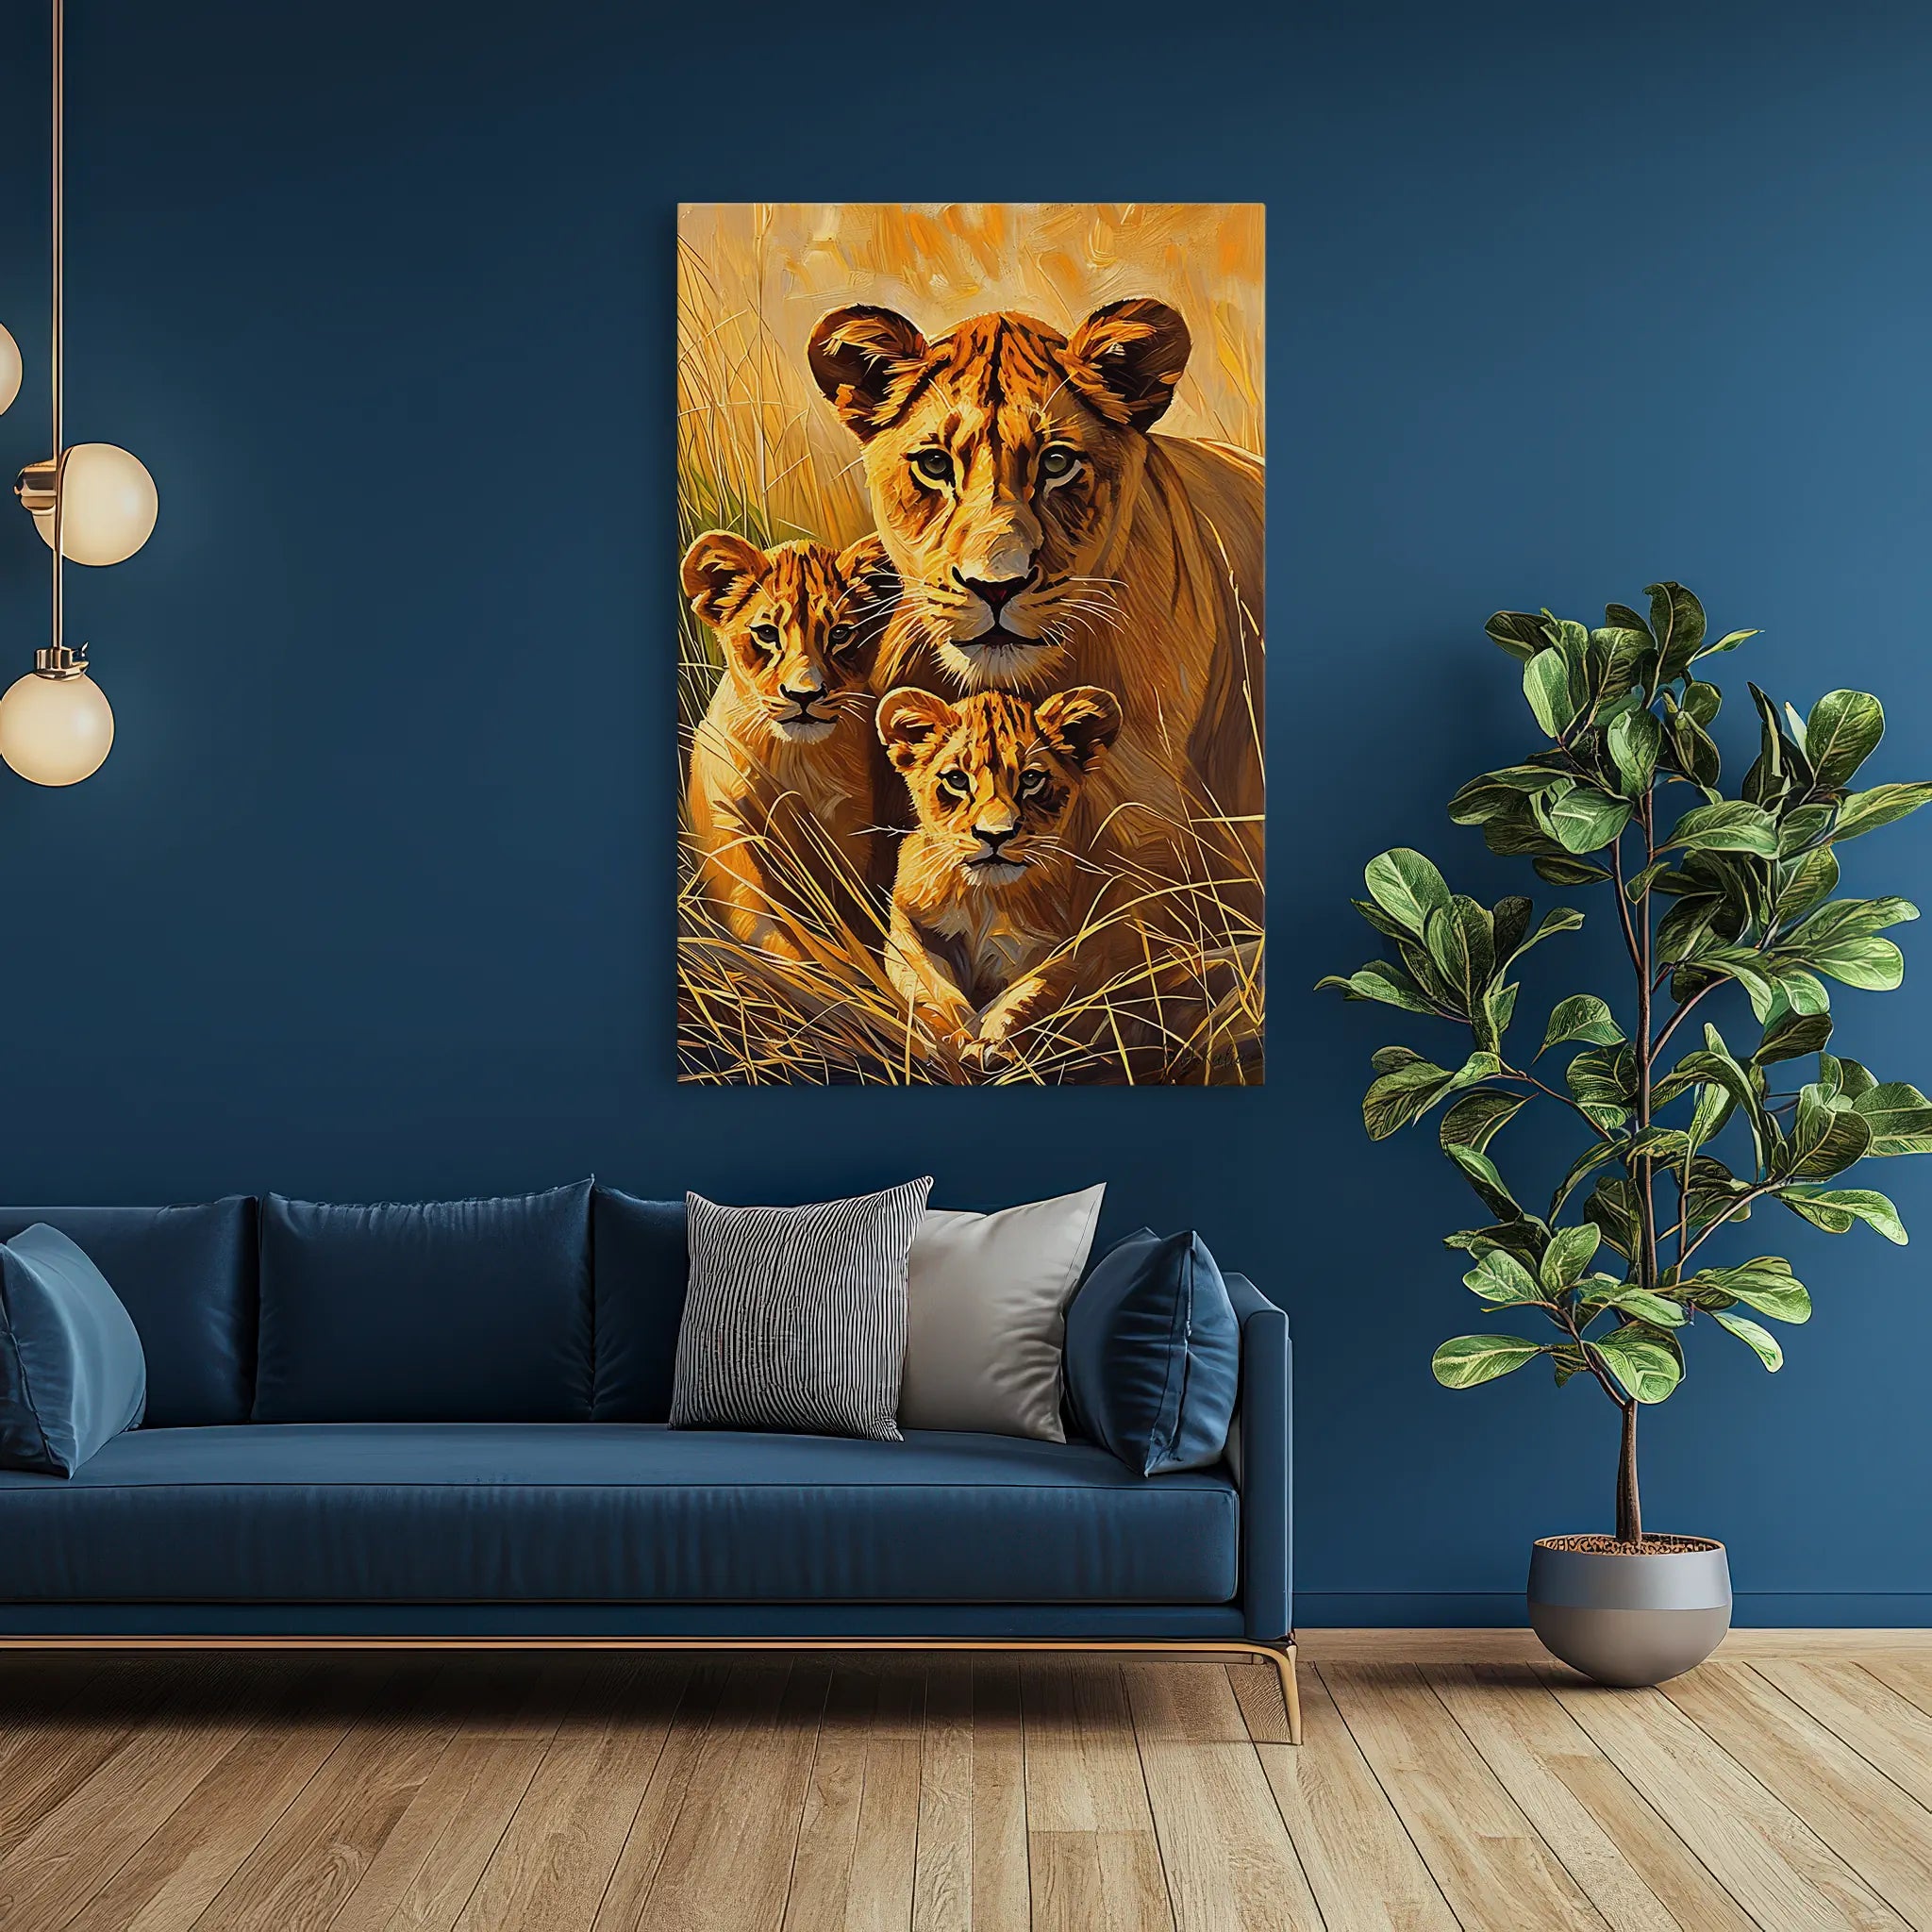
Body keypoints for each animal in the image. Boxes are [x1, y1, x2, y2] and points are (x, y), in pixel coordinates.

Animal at [681, 531, 898, 963]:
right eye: (766, 633)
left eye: (840, 634)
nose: (804, 695)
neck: (797, 764)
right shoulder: (734, 853)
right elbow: (785, 948)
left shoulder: (857, 844)